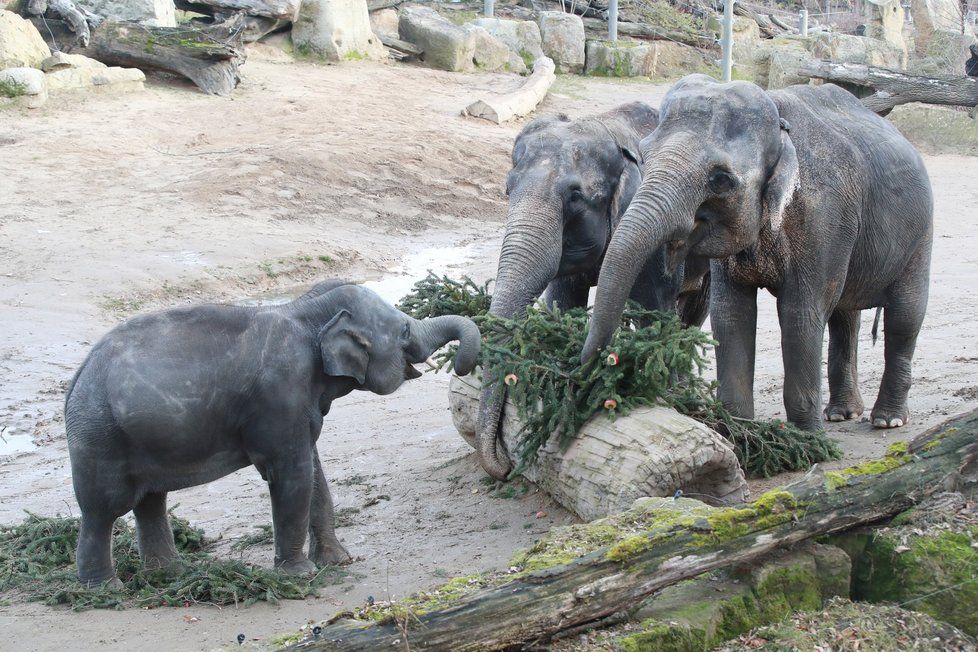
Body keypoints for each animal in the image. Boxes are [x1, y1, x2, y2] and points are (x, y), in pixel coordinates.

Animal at [474, 102, 708, 478]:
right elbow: (563, 299)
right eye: (507, 189)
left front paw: (657, 398)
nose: (505, 463)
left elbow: (654, 307)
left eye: (575, 196)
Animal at [580, 75, 932, 432]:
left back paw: (887, 420)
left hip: (920, 235)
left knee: (904, 318)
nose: (596, 365)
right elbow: (731, 314)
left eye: (721, 180)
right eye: (644, 155)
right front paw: (737, 429)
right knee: (845, 316)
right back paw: (841, 413)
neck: (778, 123)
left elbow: (799, 315)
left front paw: (807, 437)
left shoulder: (823, 218)